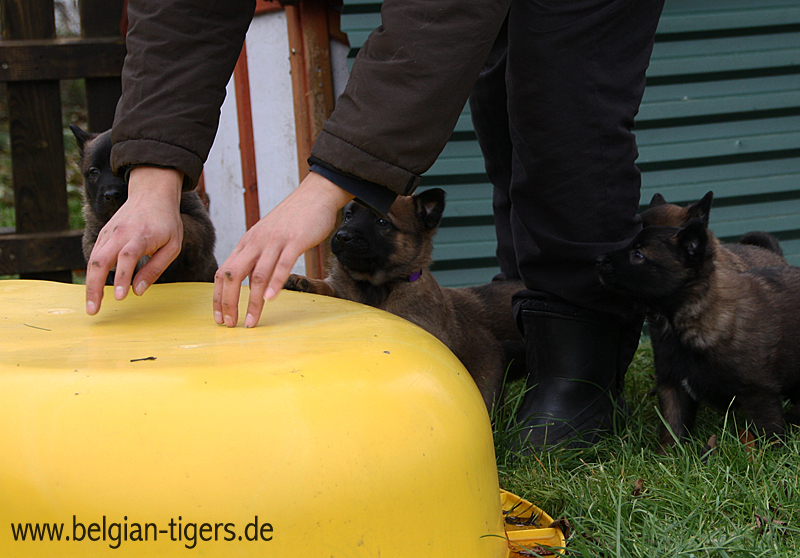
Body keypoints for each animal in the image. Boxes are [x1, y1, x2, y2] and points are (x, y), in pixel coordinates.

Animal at [283, 188, 524, 409]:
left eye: (382, 222)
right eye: (348, 215)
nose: (342, 236)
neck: (376, 285)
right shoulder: (342, 288)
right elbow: (328, 287)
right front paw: (303, 281)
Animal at [597, 219, 800, 449]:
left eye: (638, 254)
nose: (599, 259)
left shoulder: (758, 391)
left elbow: (768, 429)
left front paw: (770, 451)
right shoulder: (673, 385)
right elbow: (672, 425)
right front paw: (670, 453)